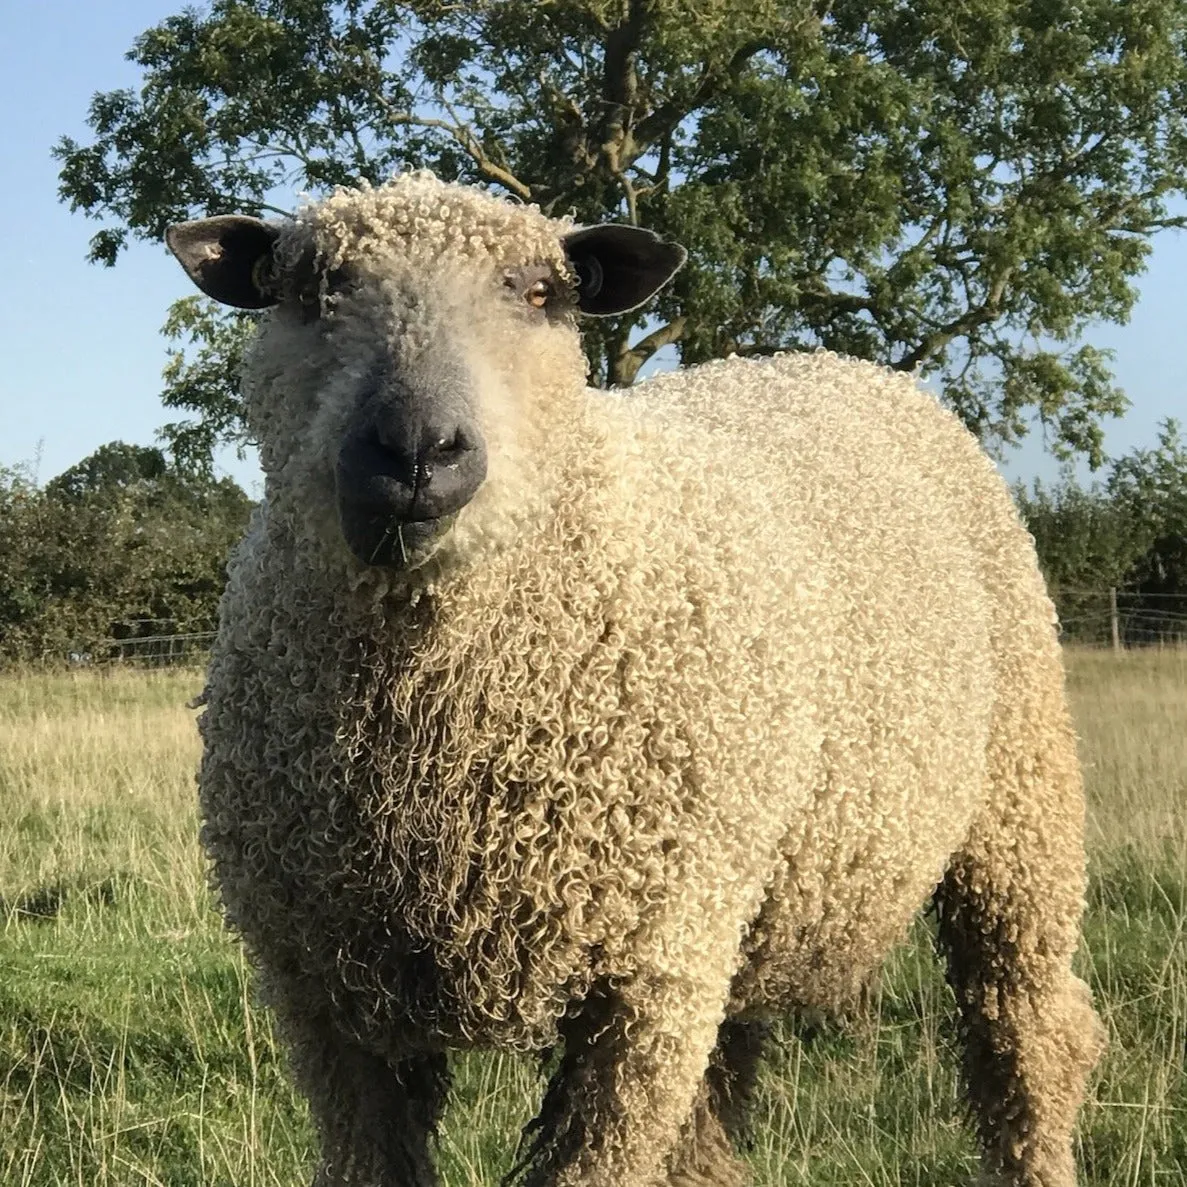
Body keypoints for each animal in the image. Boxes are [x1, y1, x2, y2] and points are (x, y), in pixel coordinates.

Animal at [164, 169, 1101, 1187]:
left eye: (541, 293)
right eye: (310, 291)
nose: (416, 449)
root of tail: (839, 364)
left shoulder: (647, 986)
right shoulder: (322, 995)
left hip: (1017, 806)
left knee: (1030, 1034)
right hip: (742, 911)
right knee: (716, 1110)